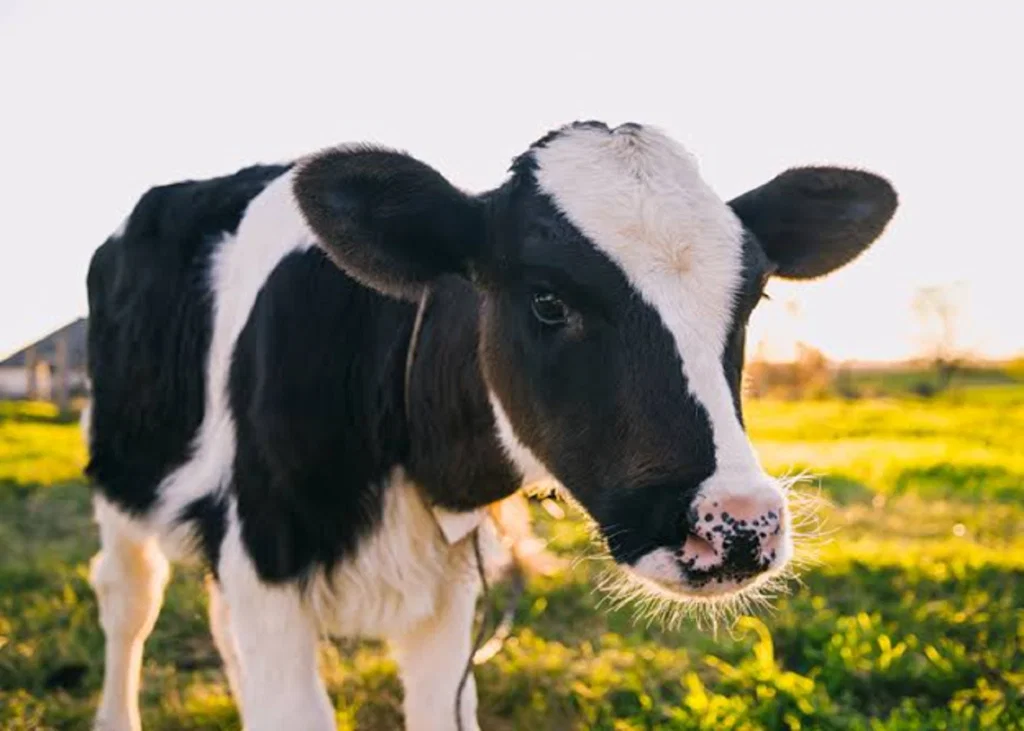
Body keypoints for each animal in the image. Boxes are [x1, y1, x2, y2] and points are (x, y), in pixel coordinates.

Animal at [83, 121, 897, 731]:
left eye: (753, 295)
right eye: (546, 300)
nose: (737, 526)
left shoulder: (447, 589)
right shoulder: (265, 556)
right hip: (118, 474)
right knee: (129, 600)